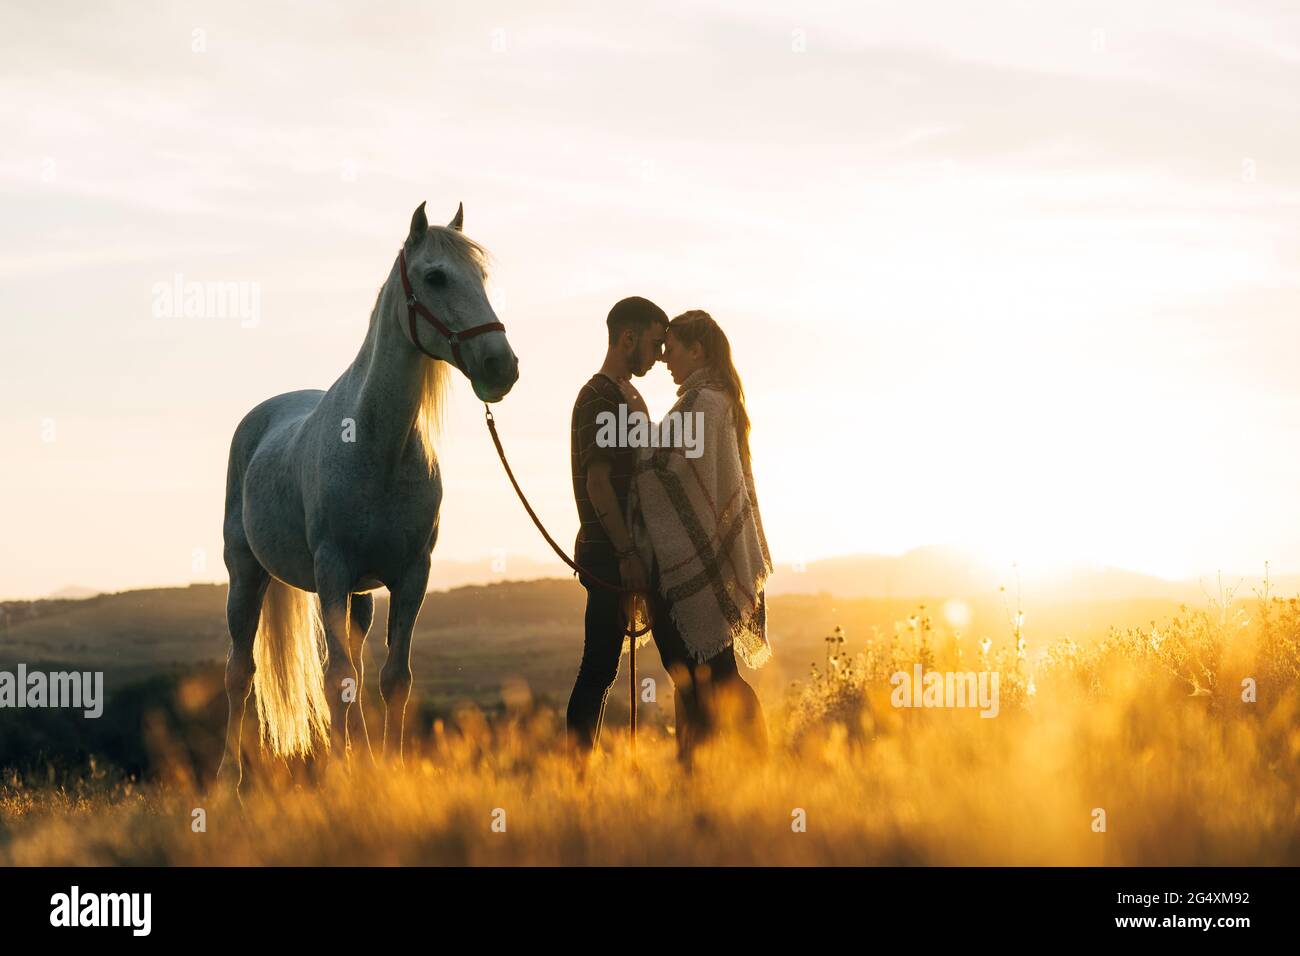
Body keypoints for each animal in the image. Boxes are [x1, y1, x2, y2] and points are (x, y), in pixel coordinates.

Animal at [214, 197, 517, 790]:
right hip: (246, 574)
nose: (502, 365)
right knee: (241, 671)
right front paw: (339, 778)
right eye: (435, 276)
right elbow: (337, 680)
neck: (380, 447)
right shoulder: (332, 570)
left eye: (483, 277)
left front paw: (388, 771)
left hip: (360, 597)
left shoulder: (411, 575)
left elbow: (392, 679)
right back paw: (227, 783)